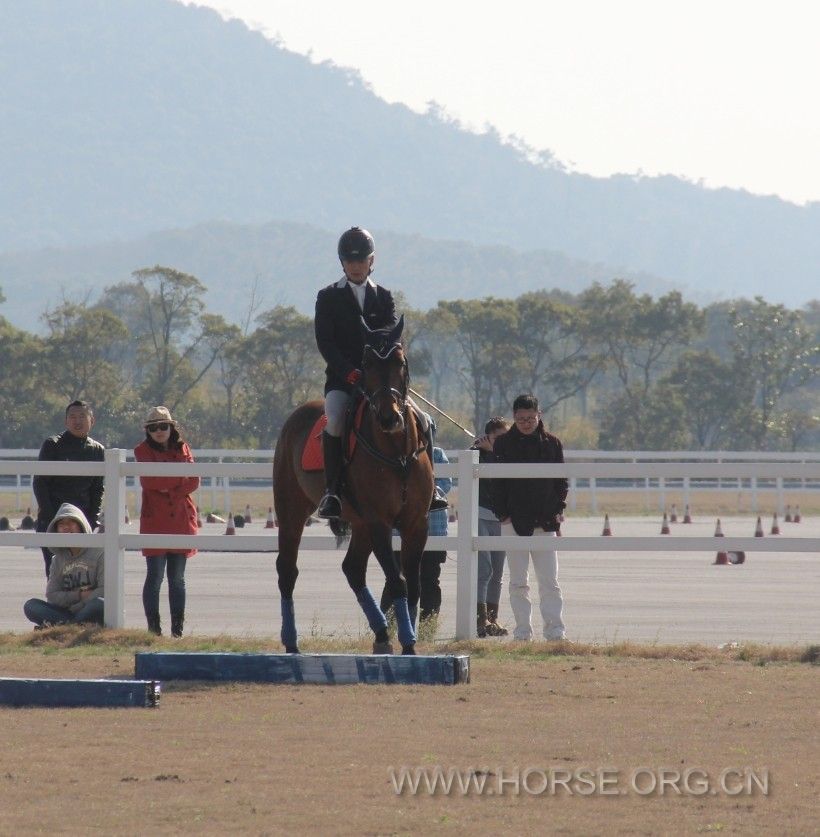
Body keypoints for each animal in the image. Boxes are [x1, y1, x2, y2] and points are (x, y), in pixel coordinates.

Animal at [270, 318, 436, 652]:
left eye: (400, 362)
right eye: (367, 363)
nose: (389, 418)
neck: (397, 452)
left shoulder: (416, 523)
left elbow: (412, 584)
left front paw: (409, 643)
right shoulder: (380, 522)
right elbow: (397, 580)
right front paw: (408, 640)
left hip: (359, 524)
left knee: (353, 569)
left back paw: (382, 635)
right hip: (292, 513)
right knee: (287, 571)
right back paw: (291, 641)